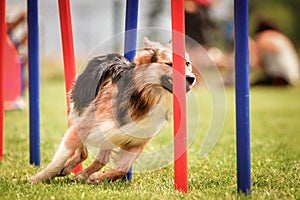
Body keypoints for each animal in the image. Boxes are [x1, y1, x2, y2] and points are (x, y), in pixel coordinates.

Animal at [28, 37, 197, 183]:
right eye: (169, 64)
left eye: (188, 63)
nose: (191, 78)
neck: (147, 96)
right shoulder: (84, 125)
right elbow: (58, 160)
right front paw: (37, 179)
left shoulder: (137, 142)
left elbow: (122, 168)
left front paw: (98, 177)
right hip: (79, 113)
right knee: (83, 152)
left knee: (99, 157)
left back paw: (82, 174)